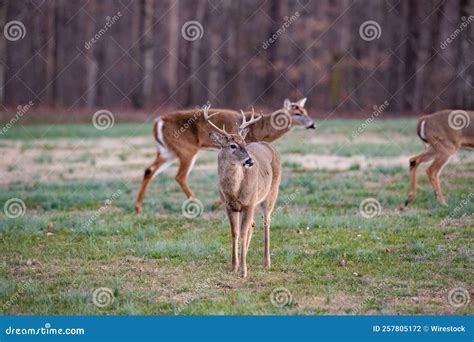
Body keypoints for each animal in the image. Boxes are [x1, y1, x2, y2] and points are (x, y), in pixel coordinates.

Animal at [133, 97, 312, 212]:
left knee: (149, 170)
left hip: (168, 151)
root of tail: (158, 121)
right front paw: (217, 203)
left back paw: (138, 207)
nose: (313, 124)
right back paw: (197, 204)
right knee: (180, 176)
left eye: (305, 110)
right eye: (297, 113)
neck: (259, 130)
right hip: (186, 149)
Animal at [207, 109, 282, 278]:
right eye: (232, 145)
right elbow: (235, 233)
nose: (250, 161)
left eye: (244, 143)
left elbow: (242, 233)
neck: (235, 191)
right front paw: (234, 266)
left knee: (266, 222)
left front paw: (243, 270)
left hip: (271, 193)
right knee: (252, 225)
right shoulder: (229, 206)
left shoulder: (249, 203)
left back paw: (266, 262)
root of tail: (268, 145)